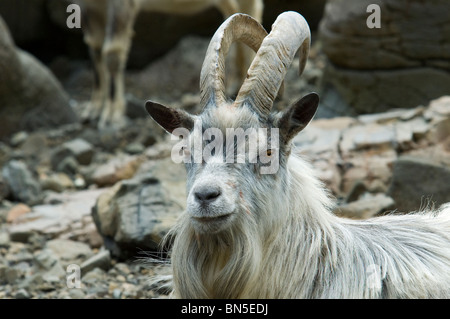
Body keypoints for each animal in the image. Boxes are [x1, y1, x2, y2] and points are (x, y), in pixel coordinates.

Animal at [74, 0, 264, 129]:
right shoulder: (88, 6)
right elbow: (95, 49)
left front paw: (111, 116)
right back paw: (236, 82)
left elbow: (111, 54)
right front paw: (92, 110)